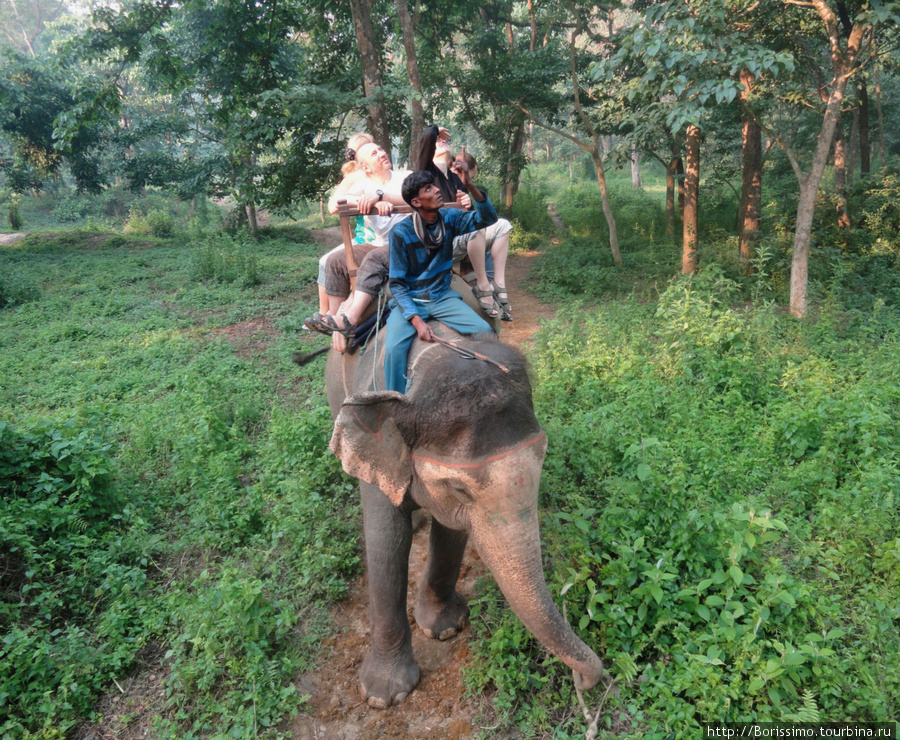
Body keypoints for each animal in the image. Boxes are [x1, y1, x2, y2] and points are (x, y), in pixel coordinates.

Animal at [324, 300, 604, 704]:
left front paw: (445, 628)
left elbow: (451, 532)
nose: (581, 682)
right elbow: (386, 541)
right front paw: (384, 696)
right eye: (459, 490)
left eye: (543, 459)